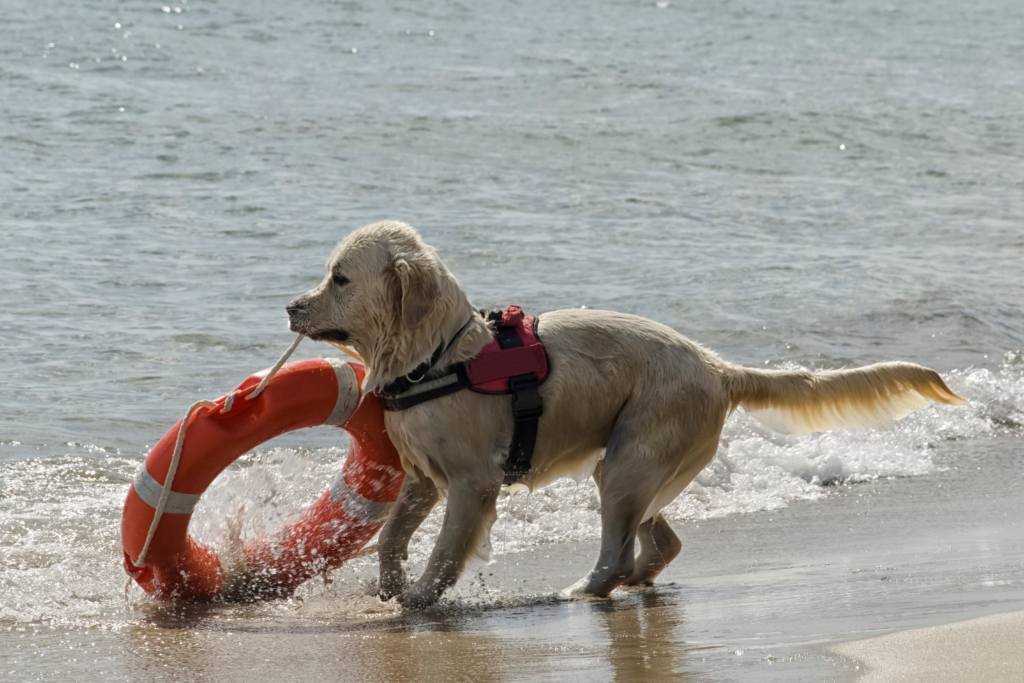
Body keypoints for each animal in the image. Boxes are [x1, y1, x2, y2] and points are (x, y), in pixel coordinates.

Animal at [286, 220, 966, 610]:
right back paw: (634, 579)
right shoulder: (424, 479)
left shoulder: (472, 485)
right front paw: (389, 587)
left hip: (626, 465)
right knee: (662, 540)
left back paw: (584, 589)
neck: (437, 357)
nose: (290, 307)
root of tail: (718, 367)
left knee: (615, 553)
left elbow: (447, 551)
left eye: (340, 278)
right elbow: (391, 536)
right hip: (631, 467)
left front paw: (421, 598)